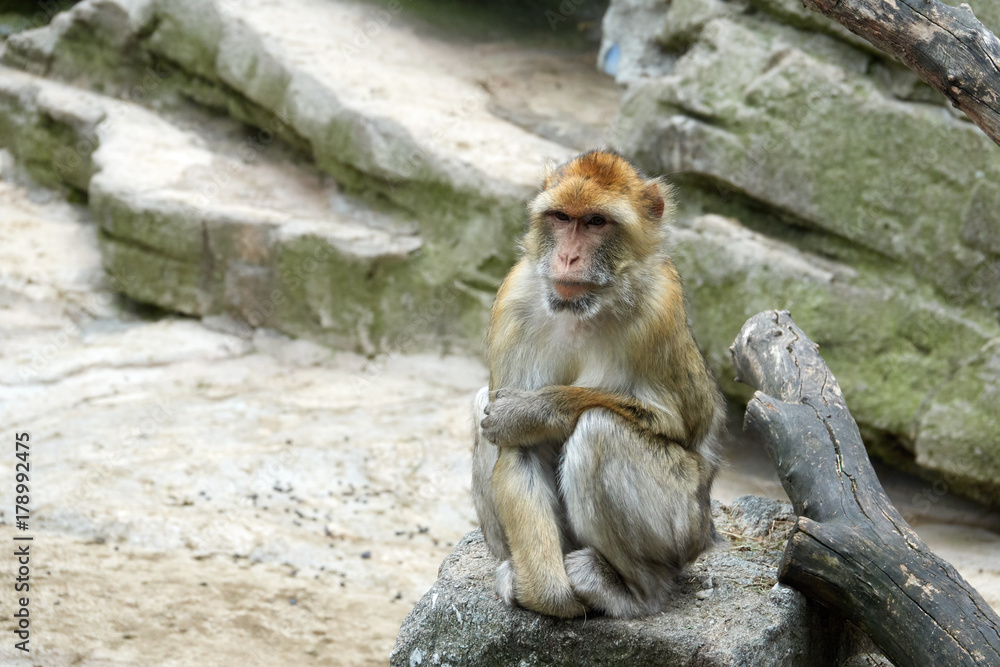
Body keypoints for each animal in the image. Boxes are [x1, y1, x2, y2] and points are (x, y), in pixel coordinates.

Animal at [472, 149, 724, 620]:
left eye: (595, 222)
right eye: (560, 217)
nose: (568, 258)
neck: (585, 310)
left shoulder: (660, 310)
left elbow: (674, 422)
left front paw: (533, 410)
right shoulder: (513, 301)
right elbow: (517, 449)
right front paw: (548, 596)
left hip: (685, 524)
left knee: (599, 429)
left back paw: (632, 590)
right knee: (479, 403)